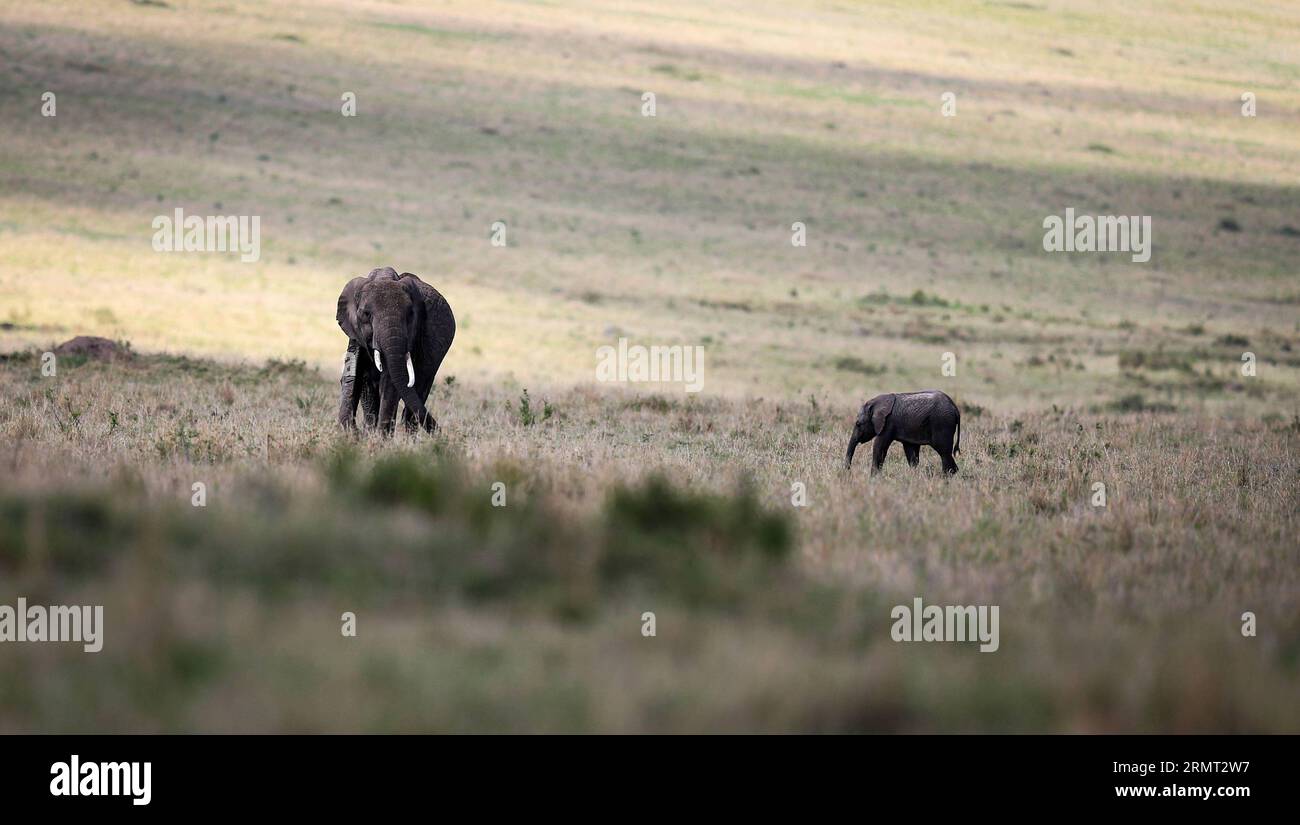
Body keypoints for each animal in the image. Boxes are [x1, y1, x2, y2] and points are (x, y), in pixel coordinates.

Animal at [335, 267, 457, 436]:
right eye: (366, 314)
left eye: (410, 314)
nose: (444, 435)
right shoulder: (355, 333)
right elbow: (356, 375)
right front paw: (356, 435)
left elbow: (390, 382)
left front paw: (380, 439)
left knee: (418, 391)